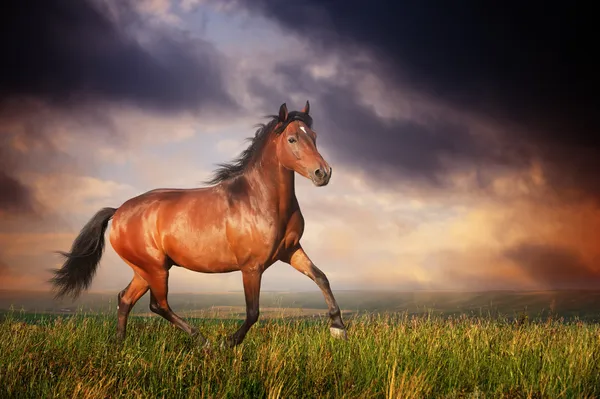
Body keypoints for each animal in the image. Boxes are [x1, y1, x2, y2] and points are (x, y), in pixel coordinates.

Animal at [51, 101, 350, 348]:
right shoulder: (251, 268)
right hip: (155, 269)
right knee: (158, 305)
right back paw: (203, 341)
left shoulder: (290, 251)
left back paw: (119, 345)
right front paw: (229, 343)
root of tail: (118, 211)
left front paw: (338, 329)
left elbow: (321, 277)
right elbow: (253, 312)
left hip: (144, 270)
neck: (260, 200)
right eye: (292, 139)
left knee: (125, 299)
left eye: (314, 137)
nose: (323, 173)